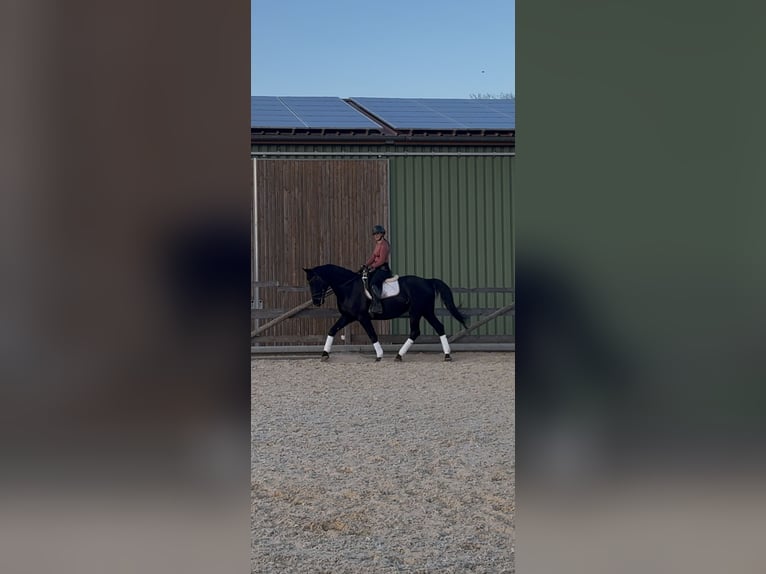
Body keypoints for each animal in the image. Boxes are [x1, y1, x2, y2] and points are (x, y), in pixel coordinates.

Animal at [303, 264, 469, 362]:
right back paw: (446, 355)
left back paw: (400, 355)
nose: (316, 302)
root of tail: (427, 281)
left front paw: (379, 355)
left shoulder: (362, 317)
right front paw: (325, 354)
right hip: (426, 311)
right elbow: (332, 330)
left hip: (416, 312)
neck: (348, 287)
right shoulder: (348, 316)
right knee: (439, 328)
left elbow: (372, 335)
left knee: (415, 331)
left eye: (315, 280)